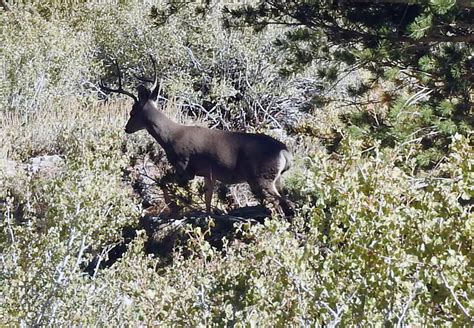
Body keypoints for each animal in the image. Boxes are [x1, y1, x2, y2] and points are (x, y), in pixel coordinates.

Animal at [100, 57, 292, 218]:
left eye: (132, 112)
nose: (126, 128)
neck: (169, 138)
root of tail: (285, 152)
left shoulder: (184, 167)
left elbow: (163, 182)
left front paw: (173, 208)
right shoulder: (208, 173)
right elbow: (208, 199)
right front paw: (208, 216)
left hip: (262, 177)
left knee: (283, 203)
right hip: (275, 178)